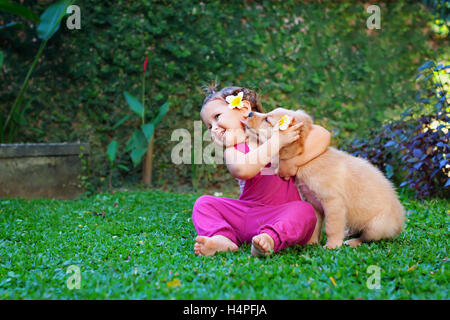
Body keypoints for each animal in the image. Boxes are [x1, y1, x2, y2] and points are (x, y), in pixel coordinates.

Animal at [244, 109, 406, 249]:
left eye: (267, 119)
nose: (250, 113)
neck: (309, 161)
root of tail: (400, 224)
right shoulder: (312, 202)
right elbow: (315, 224)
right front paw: (311, 243)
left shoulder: (333, 202)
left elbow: (331, 227)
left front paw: (332, 246)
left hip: (376, 226)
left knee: (366, 238)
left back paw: (352, 242)